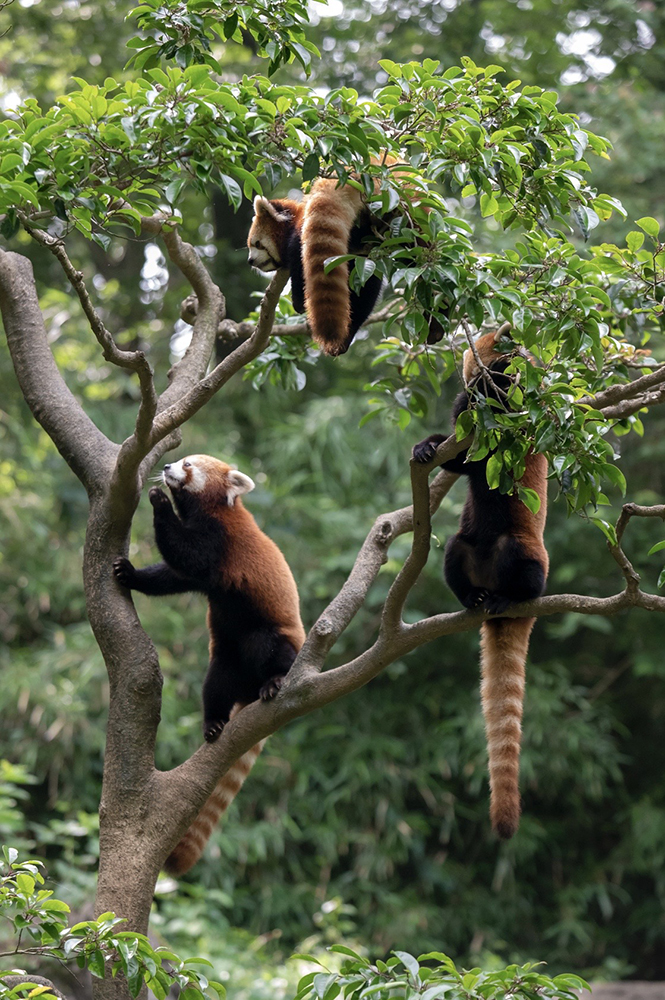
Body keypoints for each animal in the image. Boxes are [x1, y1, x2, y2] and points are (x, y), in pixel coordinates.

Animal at [245, 179, 382, 356]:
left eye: (257, 244)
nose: (250, 261)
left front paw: (299, 301)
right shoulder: (361, 262)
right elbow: (367, 290)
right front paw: (347, 335)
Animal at [412, 326, 548, 836]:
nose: (518, 354)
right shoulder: (470, 444)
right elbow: (459, 457)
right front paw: (425, 446)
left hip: (526, 550)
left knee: (520, 562)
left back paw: (512, 596)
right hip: (464, 548)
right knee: (454, 547)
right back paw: (473, 597)